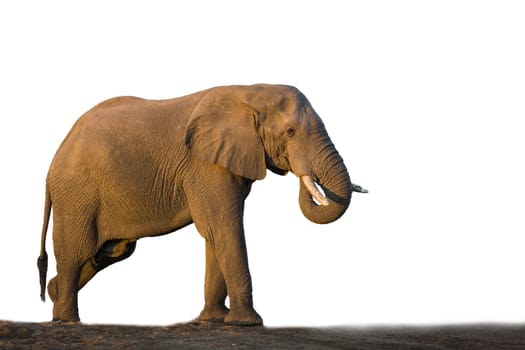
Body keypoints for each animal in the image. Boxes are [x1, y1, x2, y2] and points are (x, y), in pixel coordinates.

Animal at [36, 82, 366, 326]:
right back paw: (67, 320)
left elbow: (214, 233)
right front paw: (247, 323)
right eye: (290, 132)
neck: (249, 92)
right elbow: (224, 226)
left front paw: (213, 320)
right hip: (76, 193)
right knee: (76, 250)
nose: (302, 175)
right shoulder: (205, 165)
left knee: (108, 251)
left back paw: (54, 295)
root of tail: (54, 159)